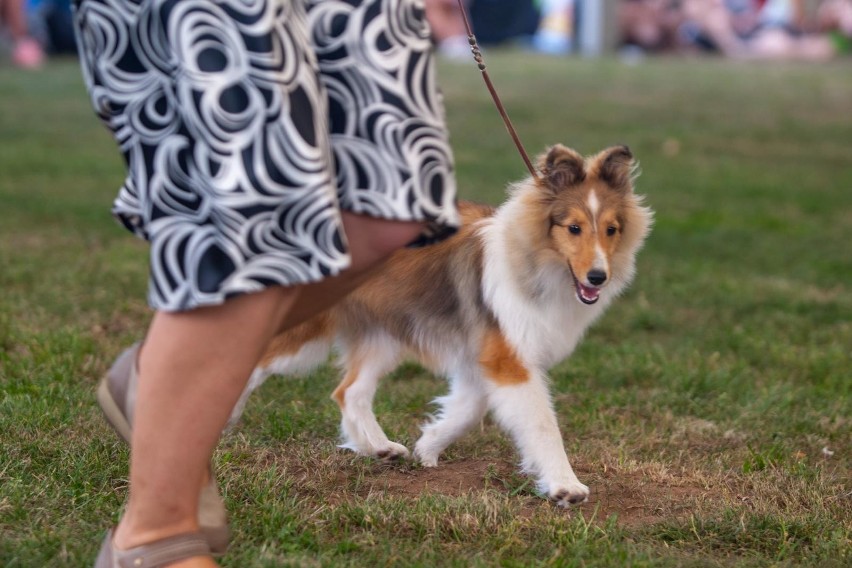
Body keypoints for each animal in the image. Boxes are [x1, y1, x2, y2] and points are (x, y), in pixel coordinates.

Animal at [226, 145, 652, 506]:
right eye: (574, 228)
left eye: (612, 229)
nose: (597, 277)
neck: (533, 260)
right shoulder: (509, 360)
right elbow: (543, 425)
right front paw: (566, 486)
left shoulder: (484, 358)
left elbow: (468, 410)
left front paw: (427, 447)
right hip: (307, 330)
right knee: (252, 359)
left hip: (383, 334)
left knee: (349, 391)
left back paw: (379, 448)